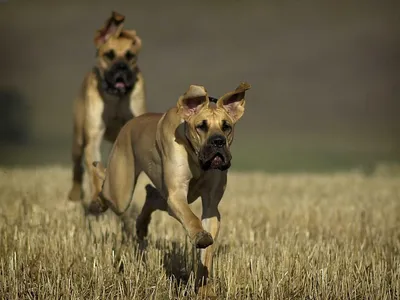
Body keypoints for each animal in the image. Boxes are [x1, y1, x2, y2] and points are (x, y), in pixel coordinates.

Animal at [68, 11, 147, 204]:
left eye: (130, 56)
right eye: (109, 55)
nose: (121, 67)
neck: (116, 98)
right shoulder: (93, 138)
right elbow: (94, 170)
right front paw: (98, 197)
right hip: (78, 139)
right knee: (77, 168)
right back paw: (75, 195)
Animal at [88, 81, 250, 296]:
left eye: (227, 127)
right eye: (201, 126)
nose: (218, 142)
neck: (195, 157)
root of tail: (129, 125)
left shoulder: (210, 206)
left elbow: (206, 254)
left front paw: (204, 288)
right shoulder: (176, 194)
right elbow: (191, 218)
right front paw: (200, 236)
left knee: (151, 195)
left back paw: (142, 225)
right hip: (120, 191)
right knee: (107, 188)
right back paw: (96, 201)